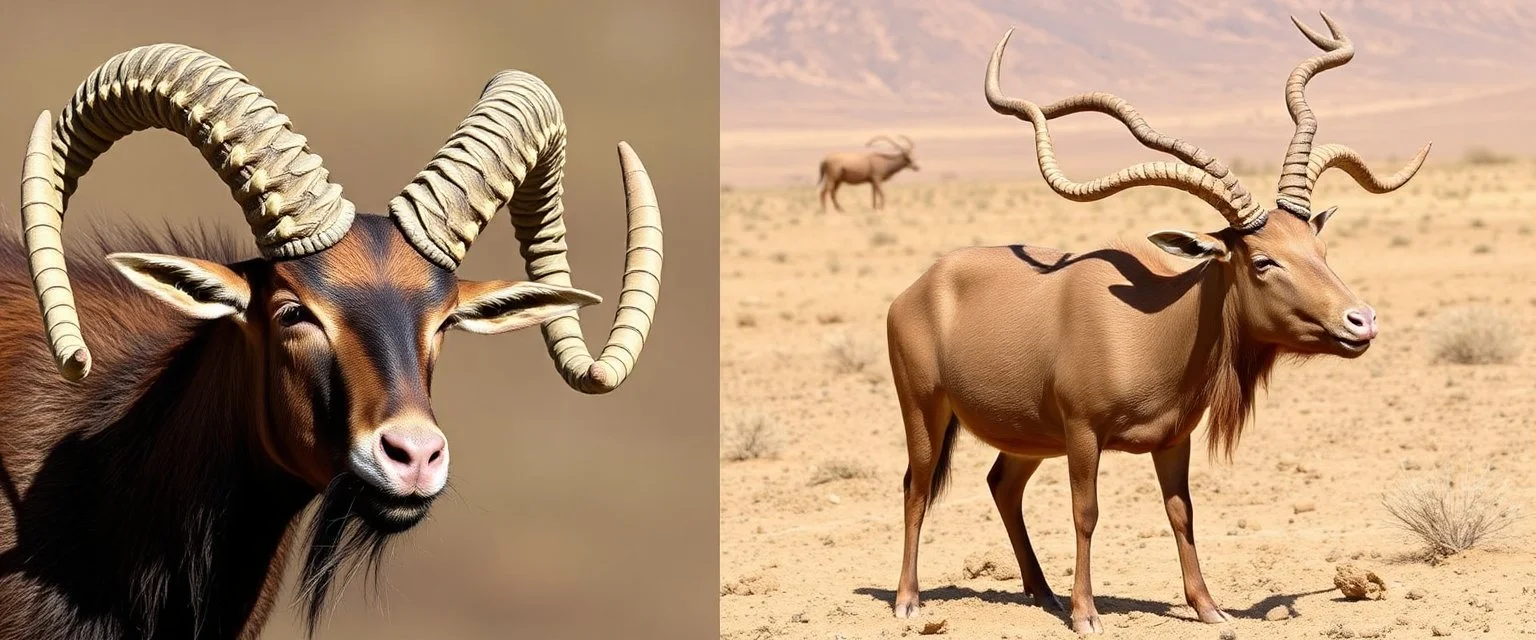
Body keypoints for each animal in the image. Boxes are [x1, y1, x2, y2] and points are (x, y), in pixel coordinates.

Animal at [885, 14, 1428, 634]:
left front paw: (1209, 608)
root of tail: (920, 286)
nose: (1360, 321)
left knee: (1002, 485)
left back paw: (1042, 594)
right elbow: (1086, 513)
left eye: (1318, 247)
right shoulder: (1083, 435)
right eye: (1262, 261)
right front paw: (1087, 614)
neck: (1153, 325)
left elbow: (1181, 513)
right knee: (916, 487)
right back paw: (909, 600)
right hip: (926, 411)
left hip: (1029, 437)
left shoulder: (1173, 439)